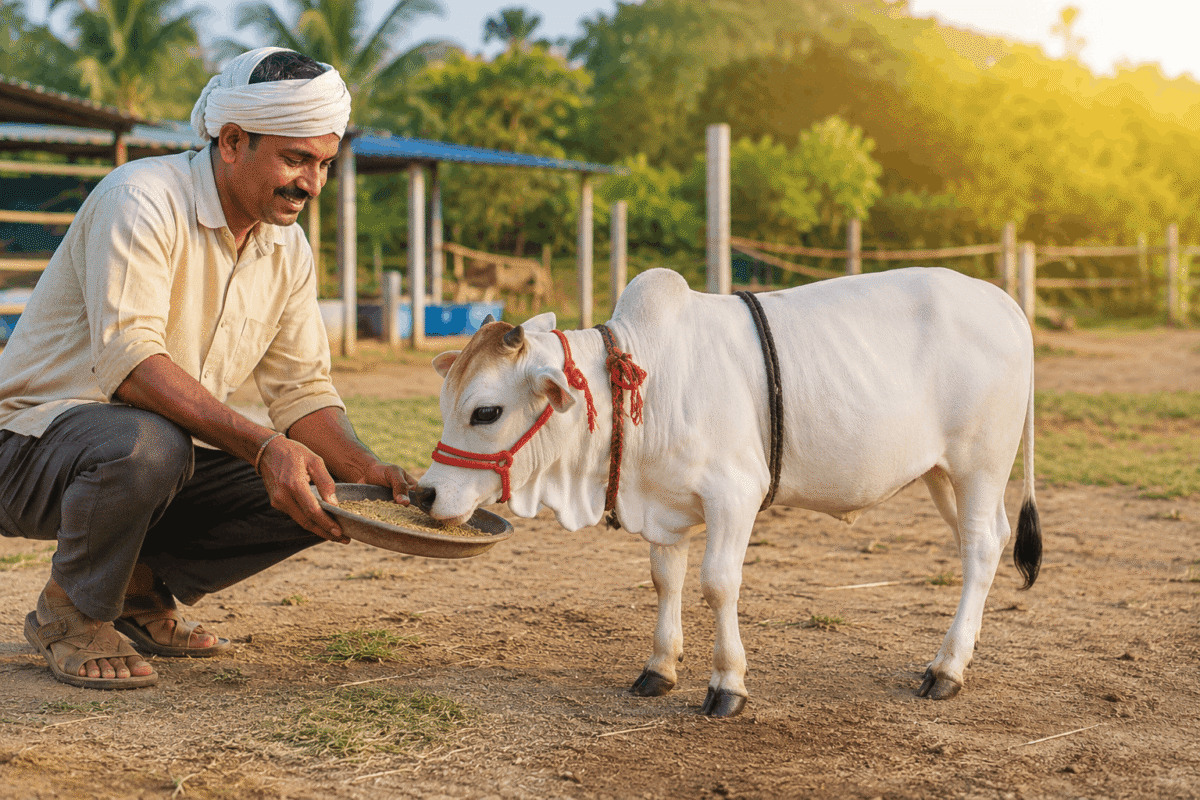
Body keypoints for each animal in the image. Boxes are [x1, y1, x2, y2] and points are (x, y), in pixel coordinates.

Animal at [415, 266, 1042, 718]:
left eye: (486, 411)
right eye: (445, 402)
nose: (425, 495)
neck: (647, 381)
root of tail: (1004, 303)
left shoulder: (735, 496)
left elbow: (717, 584)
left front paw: (727, 684)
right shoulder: (665, 508)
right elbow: (664, 580)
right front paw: (660, 667)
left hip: (979, 466)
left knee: (981, 548)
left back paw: (946, 670)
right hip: (941, 475)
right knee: (984, 543)